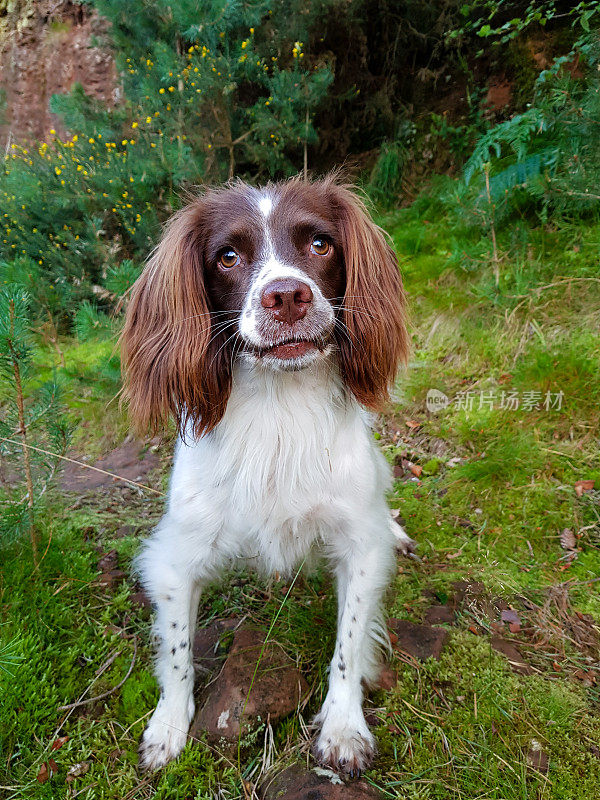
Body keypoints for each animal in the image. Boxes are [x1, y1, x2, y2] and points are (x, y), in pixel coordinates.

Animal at [122, 175, 412, 776]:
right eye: (228, 256)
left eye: (320, 244)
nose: (286, 295)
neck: (280, 409)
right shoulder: (172, 558)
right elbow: (179, 652)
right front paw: (168, 727)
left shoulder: (360, 549)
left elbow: (349, 643)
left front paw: (343, 727)